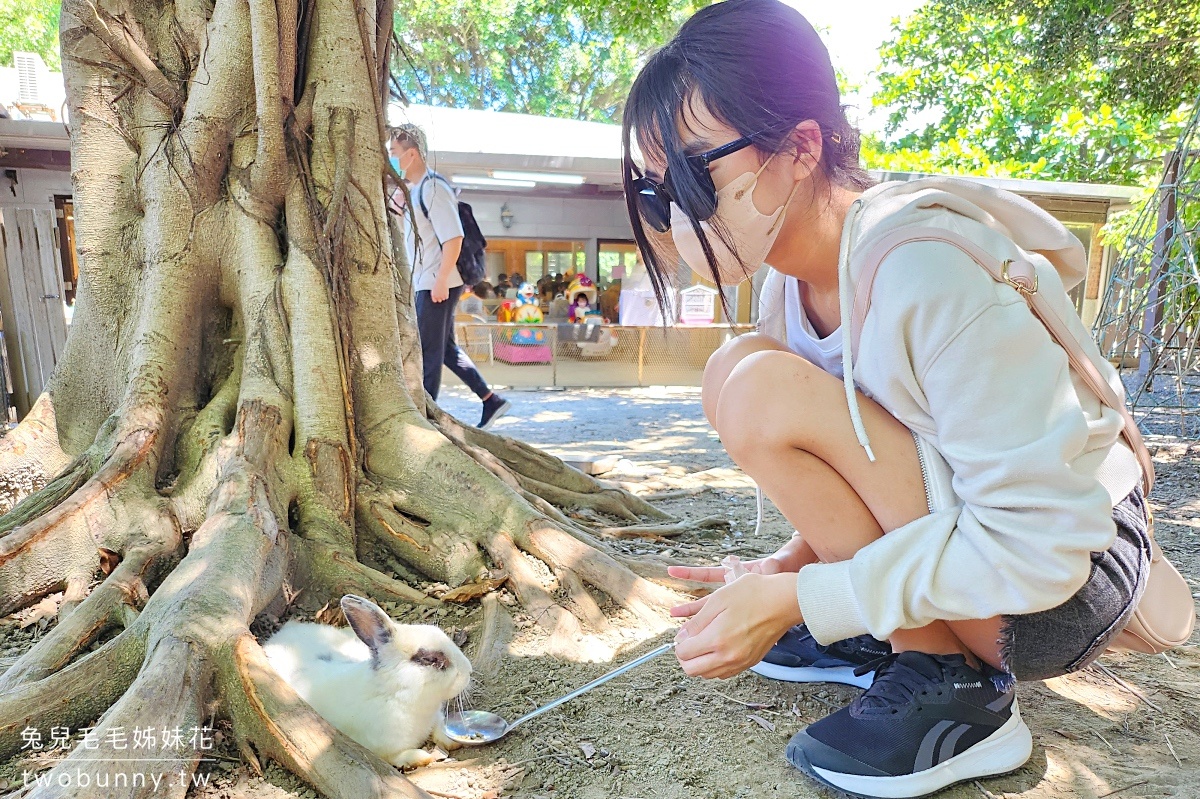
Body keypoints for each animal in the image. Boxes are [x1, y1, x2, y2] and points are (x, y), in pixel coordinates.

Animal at [265, 590, 470, 767]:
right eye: (429, 659)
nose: (468, 671)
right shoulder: (382, 750)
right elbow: (400, 756)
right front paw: (422, 757)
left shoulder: (434, 717)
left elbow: (439, 726)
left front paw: (452, 741)